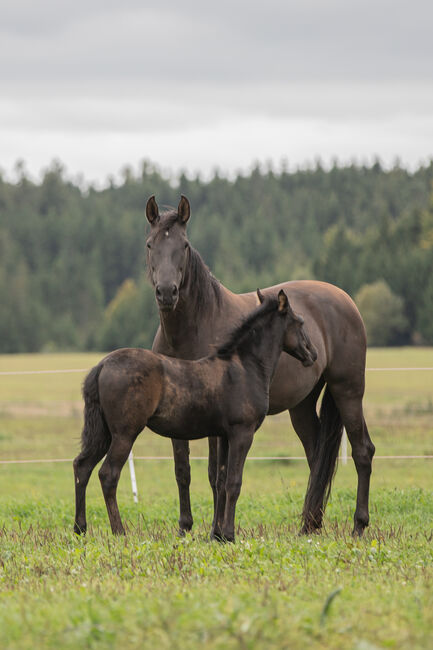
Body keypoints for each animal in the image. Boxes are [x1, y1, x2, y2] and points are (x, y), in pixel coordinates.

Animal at [72, 288, 312, 536]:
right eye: (300, 322)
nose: (310, 354)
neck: (246, 367)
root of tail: (102, 365)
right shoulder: (242, 433)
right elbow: (234, 483)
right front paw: (229, 534)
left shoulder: (224, 436)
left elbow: (222, 481)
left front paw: (219, 535)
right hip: (124, 434)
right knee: (108, 474)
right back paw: (119, 531)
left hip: (103, 433)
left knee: (82, 466)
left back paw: (80, 527)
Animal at [145, 194, 374, 536]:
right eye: (150, 244)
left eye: (183, 245)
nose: (167, 292)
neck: (192, 329)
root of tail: (345, 299)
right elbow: (182, 470)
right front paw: (185, 528)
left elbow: (217, 474)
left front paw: (217, 531)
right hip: (302, 404)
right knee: (317, 455)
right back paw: (310, 526)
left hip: (348, 390)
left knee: (362, 450)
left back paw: (358, 525)